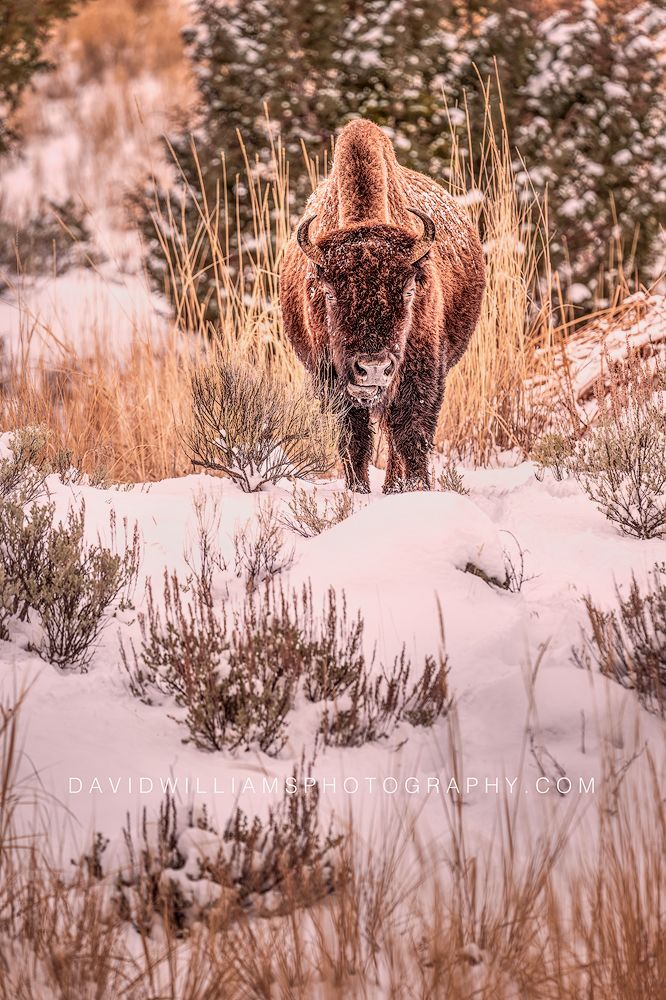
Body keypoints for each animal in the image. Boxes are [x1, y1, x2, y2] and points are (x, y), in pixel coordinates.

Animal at [280, 118, 485, 493]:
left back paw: (393, 485)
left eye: (408, 290)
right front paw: (357, 489)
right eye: (329, 293)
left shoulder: (421, 371)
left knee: (393, 433)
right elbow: (354, 437)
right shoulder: (332, 379)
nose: (372, 367)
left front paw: (417, 487)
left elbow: (412, 435)